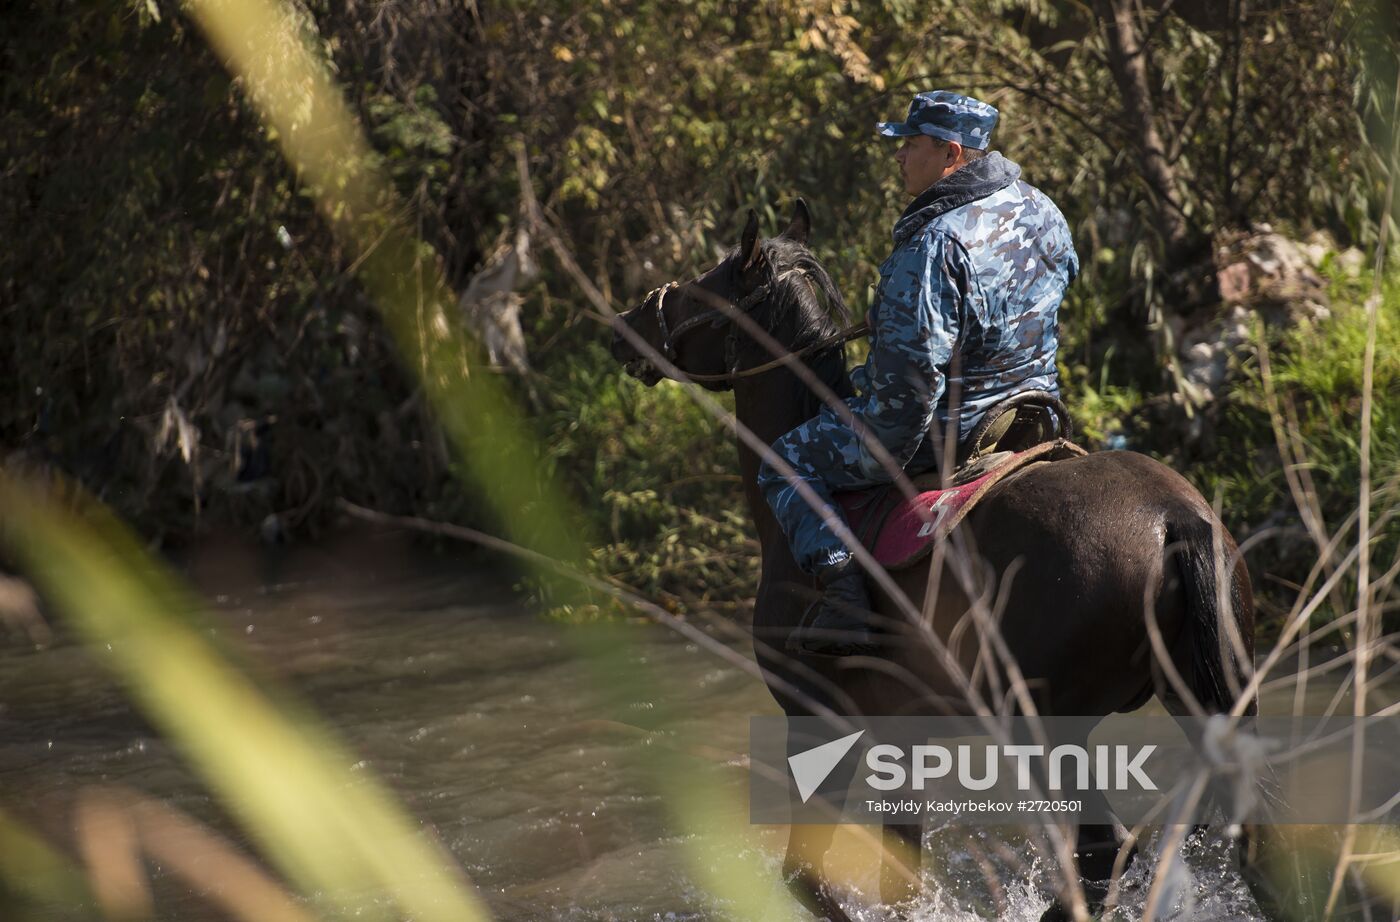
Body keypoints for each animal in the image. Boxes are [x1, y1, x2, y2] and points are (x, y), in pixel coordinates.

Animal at [607, 201, 1254, 922]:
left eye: (701, 287)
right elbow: (903, 877)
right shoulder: (905, 740)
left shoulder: (818, 721)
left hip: (1045, 727)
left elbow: (805, 876)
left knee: (1103, 852)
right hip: (1199, 701)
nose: (623, 324)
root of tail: (1173, 516)